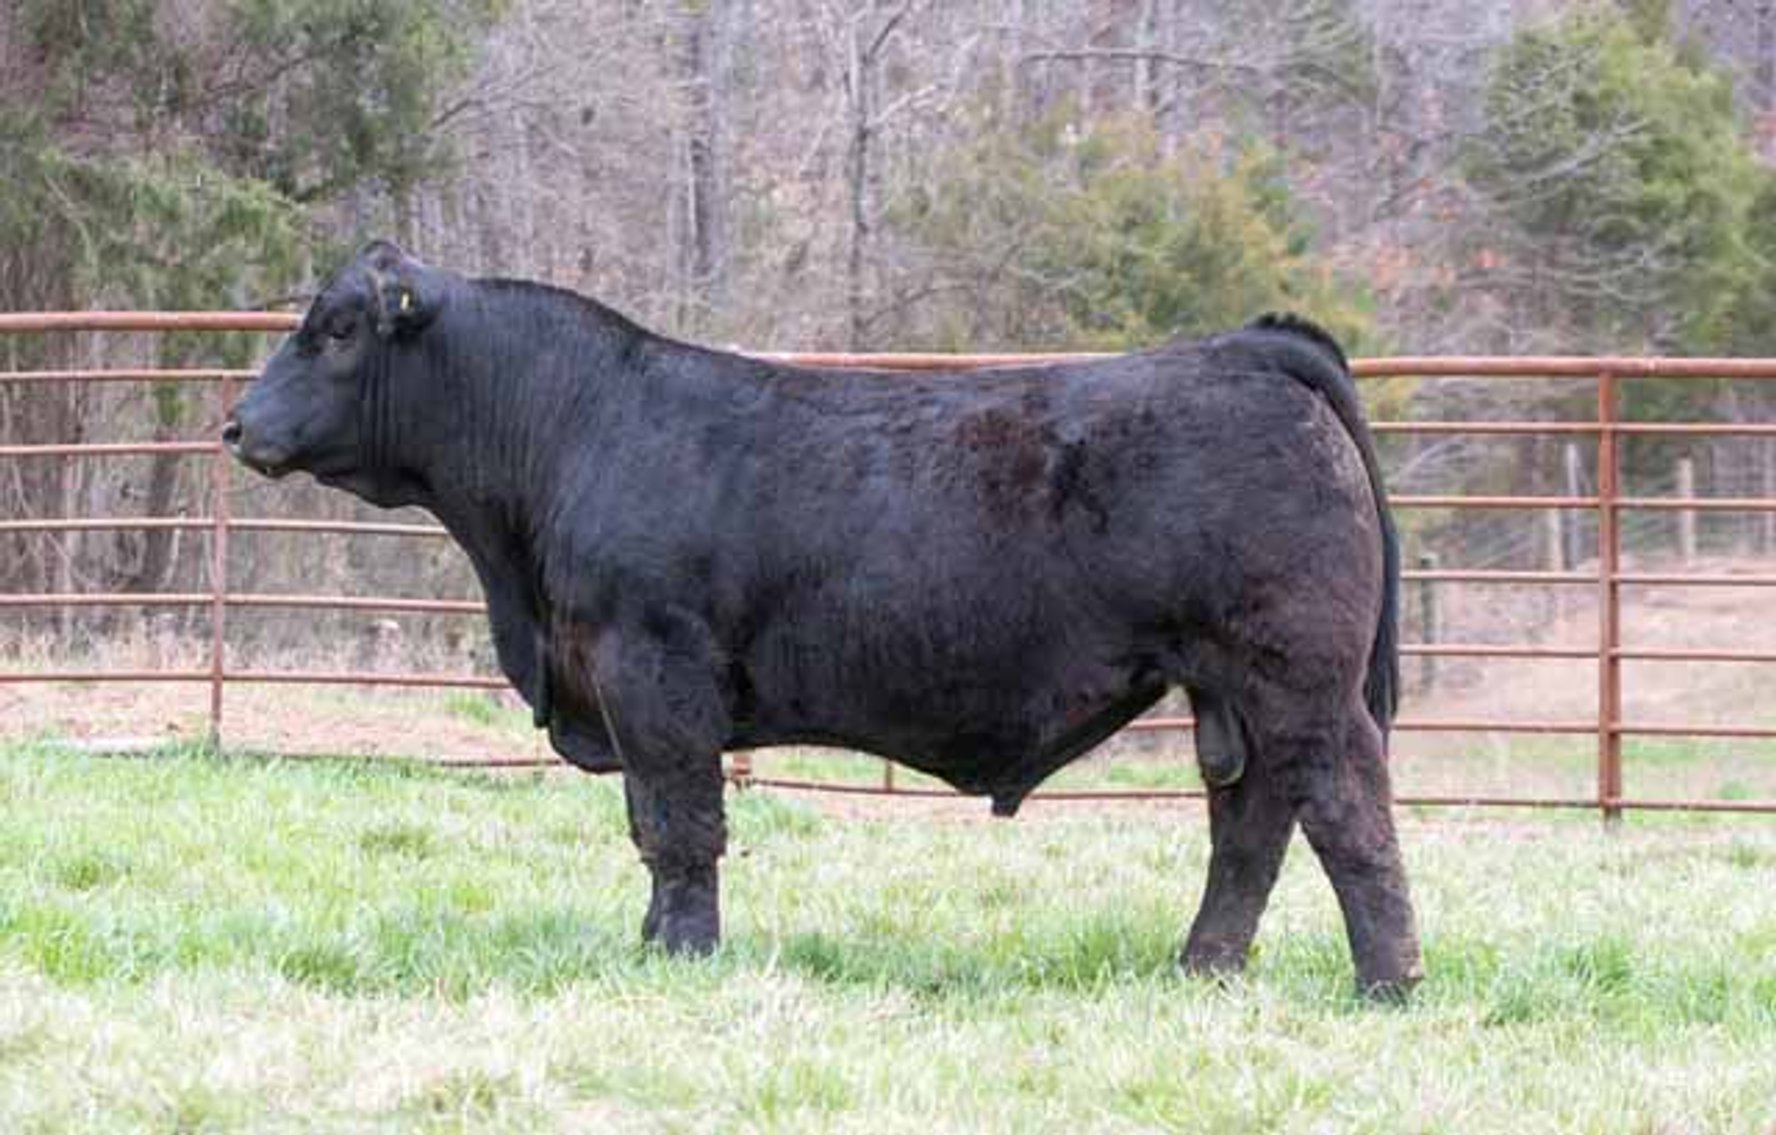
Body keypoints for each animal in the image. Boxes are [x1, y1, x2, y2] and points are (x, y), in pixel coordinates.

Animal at [225, 241, 1422, 997]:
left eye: (336, 329)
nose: (236, 423)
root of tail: (1244, 349)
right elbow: (652, 827)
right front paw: (652, 945)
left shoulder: (652, 672)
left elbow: (682, 825)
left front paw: (684, 957)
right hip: (1234, 691)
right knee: (1251, 829)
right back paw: (1202, 969)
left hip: (1301, 681)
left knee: (1349, 816)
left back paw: (1388, 985)